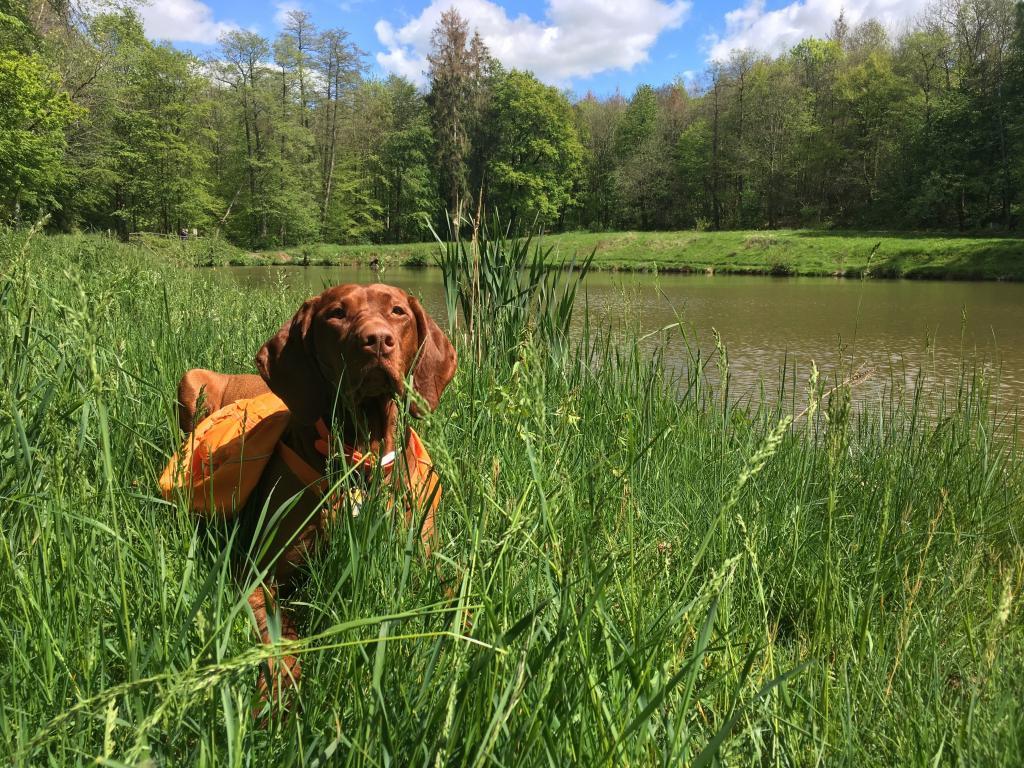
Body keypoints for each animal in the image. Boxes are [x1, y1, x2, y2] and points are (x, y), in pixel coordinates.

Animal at [174, 284, 454, 704]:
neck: (361, 456)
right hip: (191, 381)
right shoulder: (256, 572)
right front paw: (279, 692)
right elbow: (281, 636)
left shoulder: (425, 555)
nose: (377, 340)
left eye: (398, 311)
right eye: (336, 314)